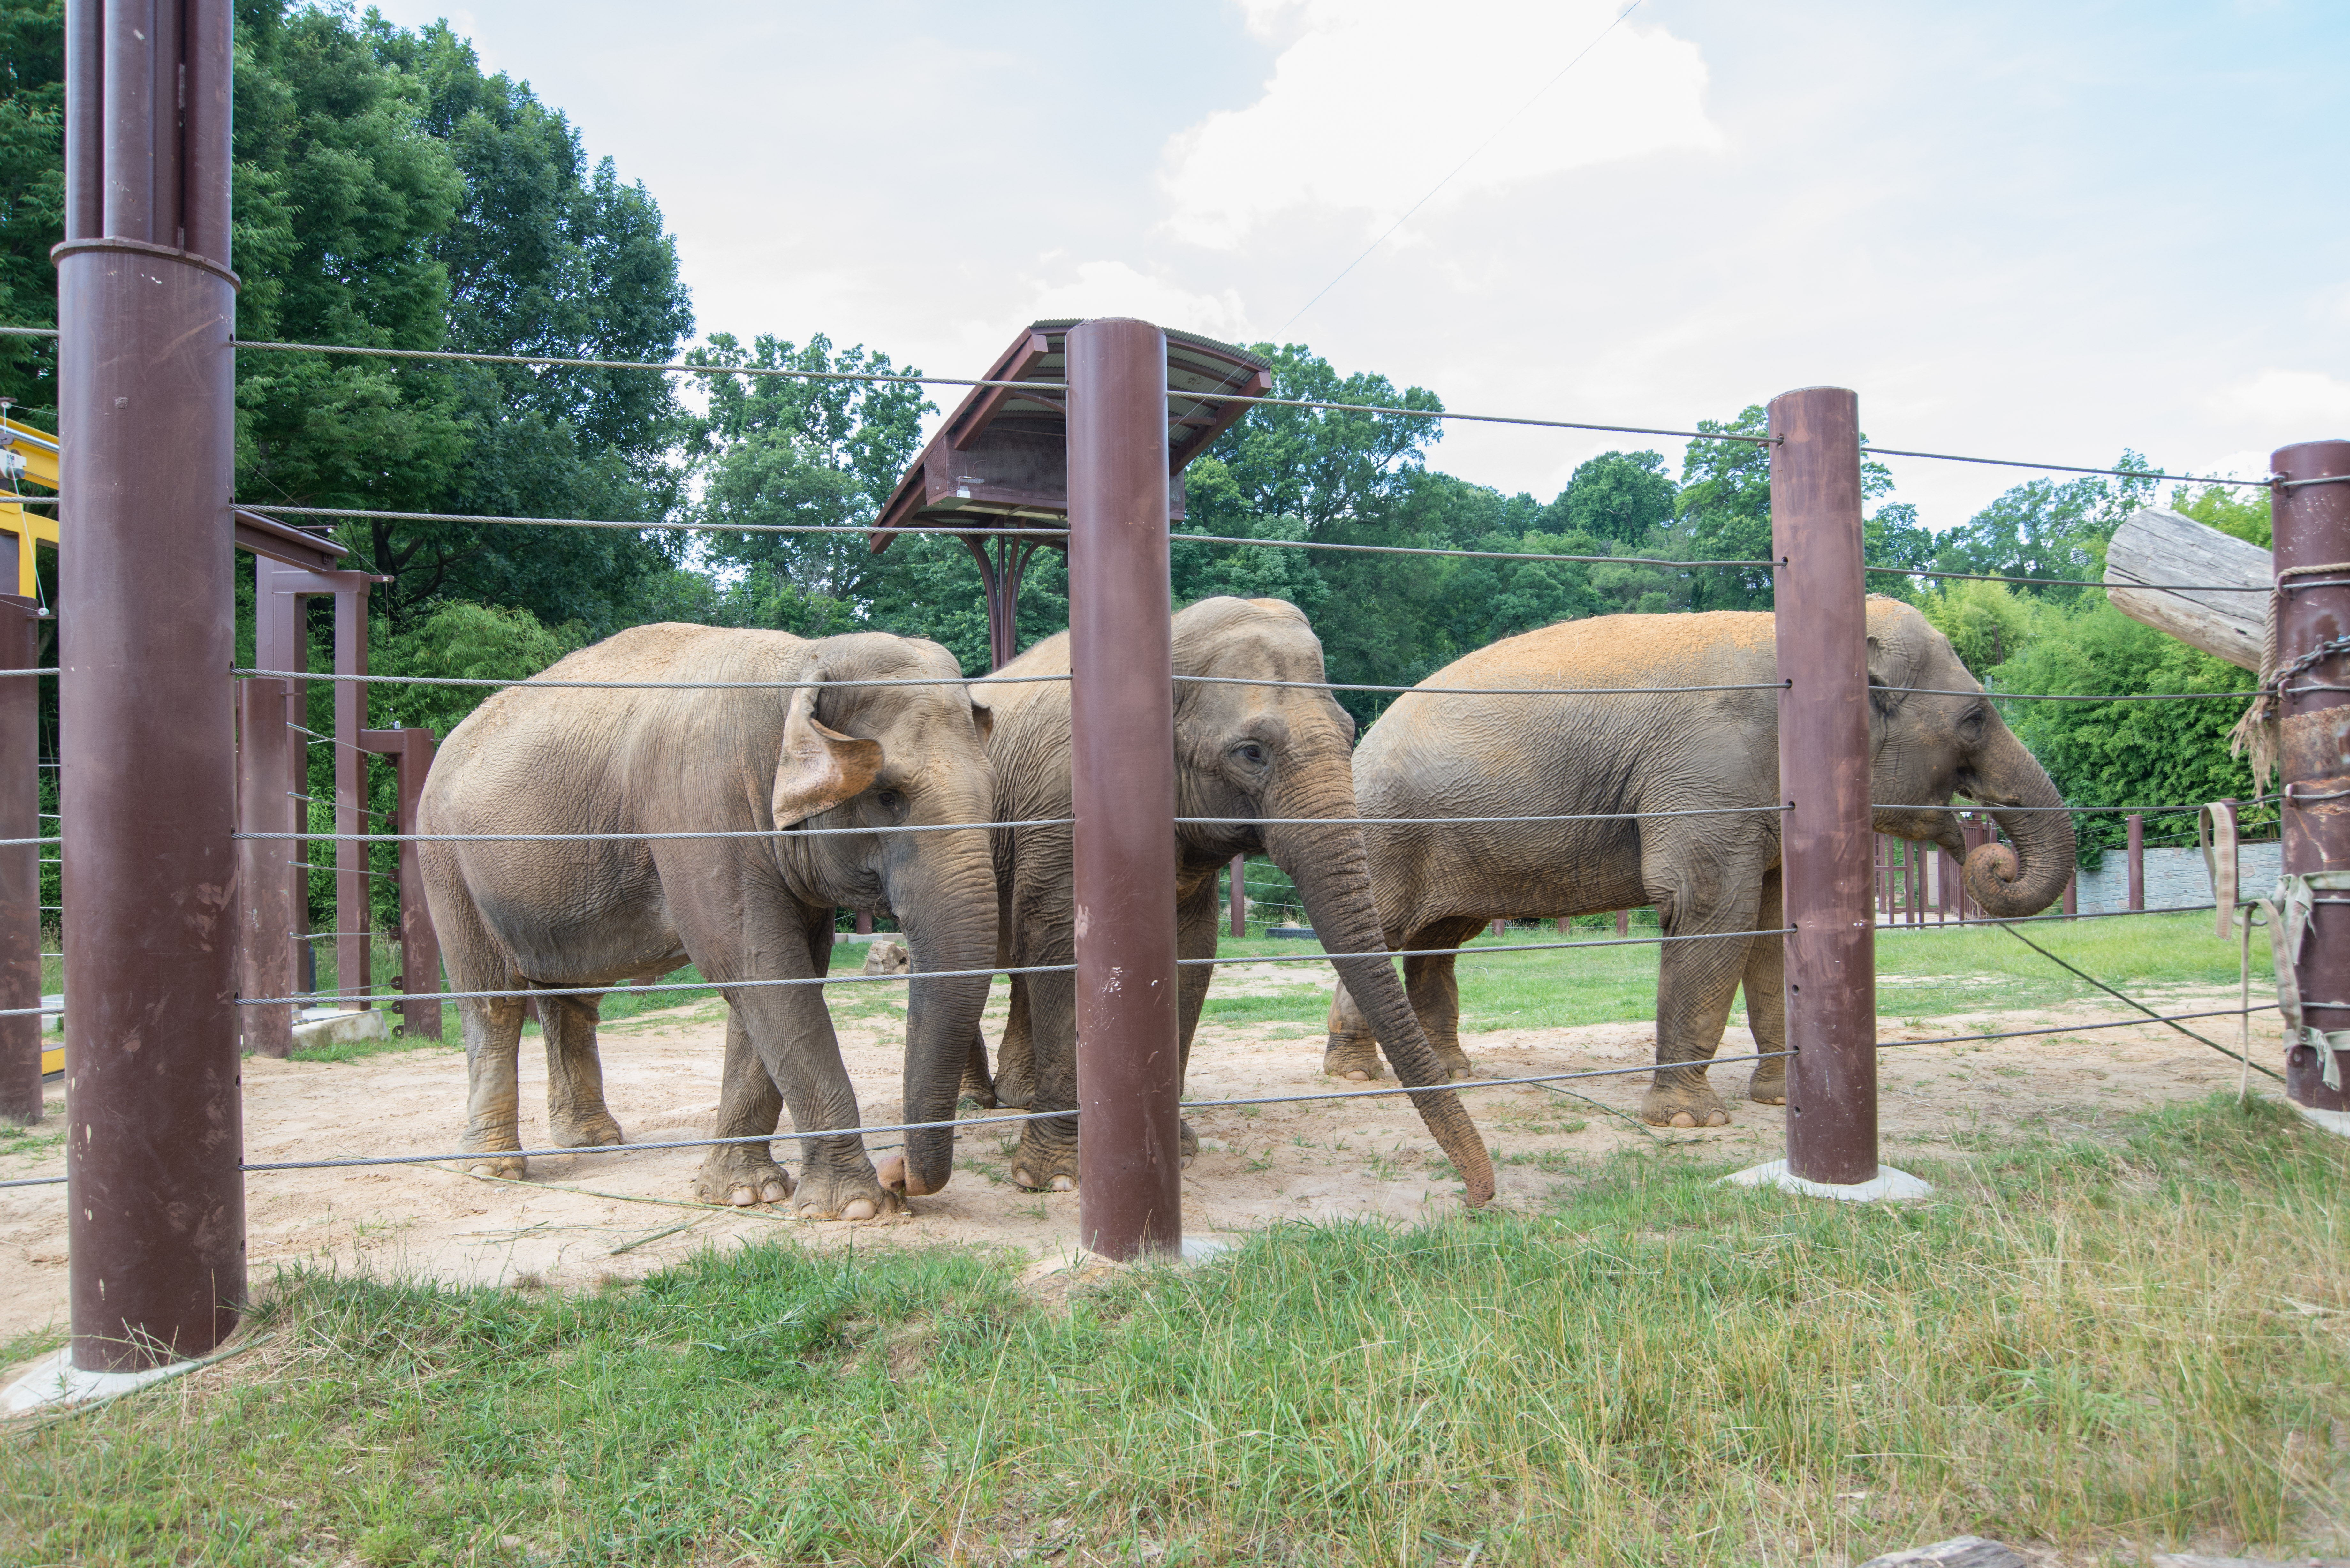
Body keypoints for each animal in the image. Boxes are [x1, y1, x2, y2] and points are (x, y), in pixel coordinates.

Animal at [418, 621, 996, 1222]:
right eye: (887, 797)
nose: (899, 1174)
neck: (803, 660)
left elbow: (781, 972)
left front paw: (746, 1193)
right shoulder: (700, 805)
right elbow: (759, 967)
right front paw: (851, 1208)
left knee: (572, 996)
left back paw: (593, 1142)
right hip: (445, 860)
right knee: (492, 1000)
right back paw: (493, 1168)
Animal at [963, 597, 1494, 1203]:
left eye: (1350, 732)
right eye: (1252, 753)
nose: (1477, 1197)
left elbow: (1190, 950)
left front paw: (1178, 1154)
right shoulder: (1061, 806)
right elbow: (1058, 945)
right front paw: (1054, 1178)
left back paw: (1014, 1098)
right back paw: (973, 1104)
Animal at [1325, 597, 2077, 1128]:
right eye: (1975, 719)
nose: (1989, 858)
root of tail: (1364, 742)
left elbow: (1770, 926)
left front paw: (1777, 1102)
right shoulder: (1709, 778)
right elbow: (1710, 906)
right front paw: (1690, 1122)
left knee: (1437, 940)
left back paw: (1447, 1073)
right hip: (1386, 831)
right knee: (1387, 930)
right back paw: (1358, 1077)